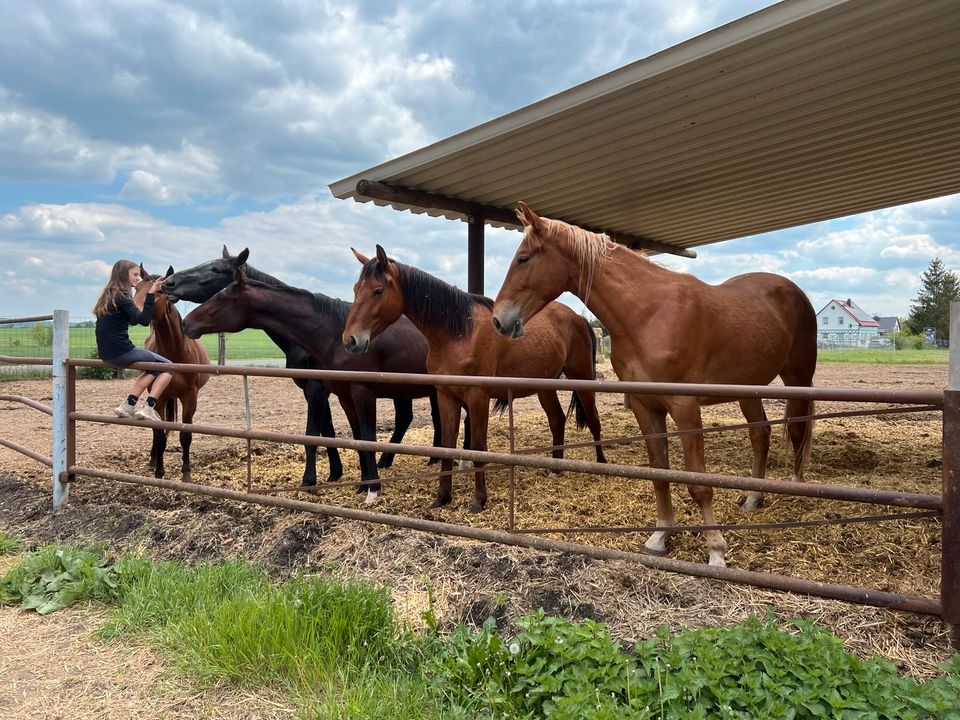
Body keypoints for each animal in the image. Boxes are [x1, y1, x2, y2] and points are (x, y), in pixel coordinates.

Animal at [133, 268, 210, 480]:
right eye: (136, 288)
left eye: (159, 291)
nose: (134, 309)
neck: (175, 350)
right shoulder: (160, 397)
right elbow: (159, 435)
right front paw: (159, 472)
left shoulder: (190, 396)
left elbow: (186, 435)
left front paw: (186, 473)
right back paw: (153, 460)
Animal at [342, 246, 604, 512]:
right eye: (355, 289)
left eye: (378, 290)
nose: (350, 340)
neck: (459, 334)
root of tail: (578, 318)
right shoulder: (446, 396)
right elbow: (447, 444)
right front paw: (442, 497)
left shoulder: (478, 397)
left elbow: (478, 447)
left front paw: (479, 499)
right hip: (545, 387)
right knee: (557, 420)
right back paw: (556, 468)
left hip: (582, 376)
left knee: (593, 418)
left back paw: (601, 464)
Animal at [496, 202, 816, 568]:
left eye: (524, 258)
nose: (499, 320)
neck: (649, 314)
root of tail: (793, 291)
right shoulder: (646, 407)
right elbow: (660, 475)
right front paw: (661, 537)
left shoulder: (684, 407)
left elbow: (698, 483)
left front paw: (716, 551)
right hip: (749, 389)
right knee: (761, 434)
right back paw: (753, 497)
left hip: (798, 379)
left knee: (798, 429)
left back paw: (795, 485)